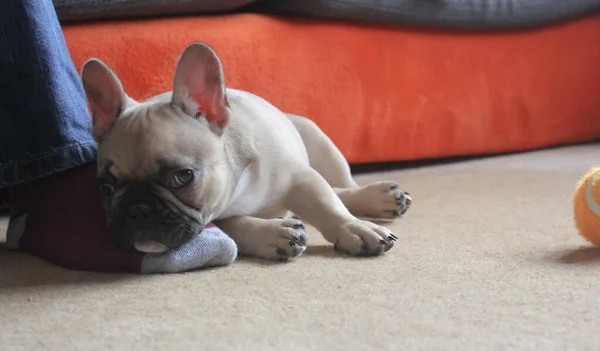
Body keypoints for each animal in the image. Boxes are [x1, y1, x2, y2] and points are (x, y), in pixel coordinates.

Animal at [79, 42, 410, 262]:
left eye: (183, 177)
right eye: (105, 187)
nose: (137, 209)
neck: (238, 183)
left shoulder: (299, 178)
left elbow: (326, 204)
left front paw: (353, 228)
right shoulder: (218, 213)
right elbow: (232, 225)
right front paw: (272, 233)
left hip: (320, 140)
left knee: (341, 187)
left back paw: (376, 197)